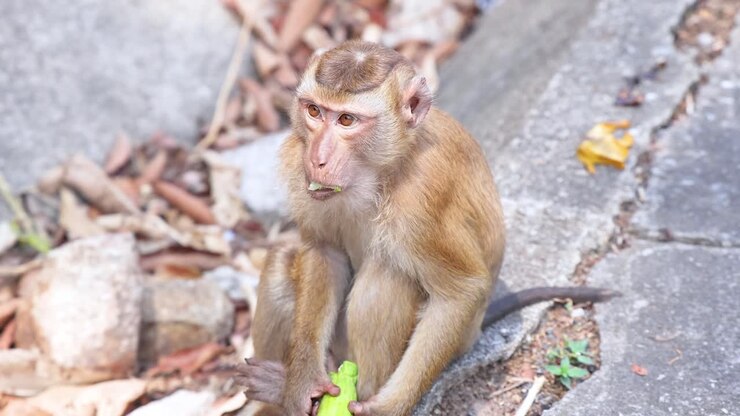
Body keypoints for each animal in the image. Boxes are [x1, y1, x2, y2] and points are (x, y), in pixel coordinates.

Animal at [234, 41, 619, 416]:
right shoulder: (300, 168)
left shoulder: (422, 201)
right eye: (314, 111)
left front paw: (384, 408)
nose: (318, 159)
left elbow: (462, 292)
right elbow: (324, 251)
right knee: (284, 258)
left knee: (386, 282)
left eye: (346, 120)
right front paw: (301, 384)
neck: (382, 170)